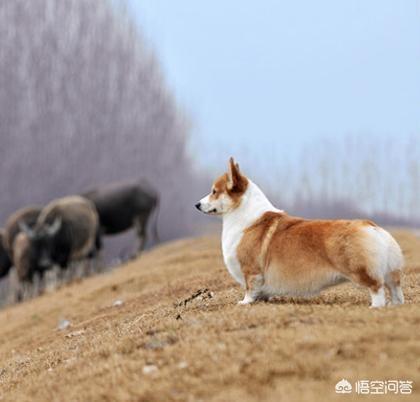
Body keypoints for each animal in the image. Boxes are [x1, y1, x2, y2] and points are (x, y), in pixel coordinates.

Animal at [195, 158, 406, 308]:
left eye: (214, 191)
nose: (197, 204)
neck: (243, 216)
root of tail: (371, 227)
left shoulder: (251, 271)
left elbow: (250, 288)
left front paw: (245, 302)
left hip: (361, 271)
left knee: (377, 289)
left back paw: (375, 307)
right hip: (391, 273)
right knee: (396, 290)